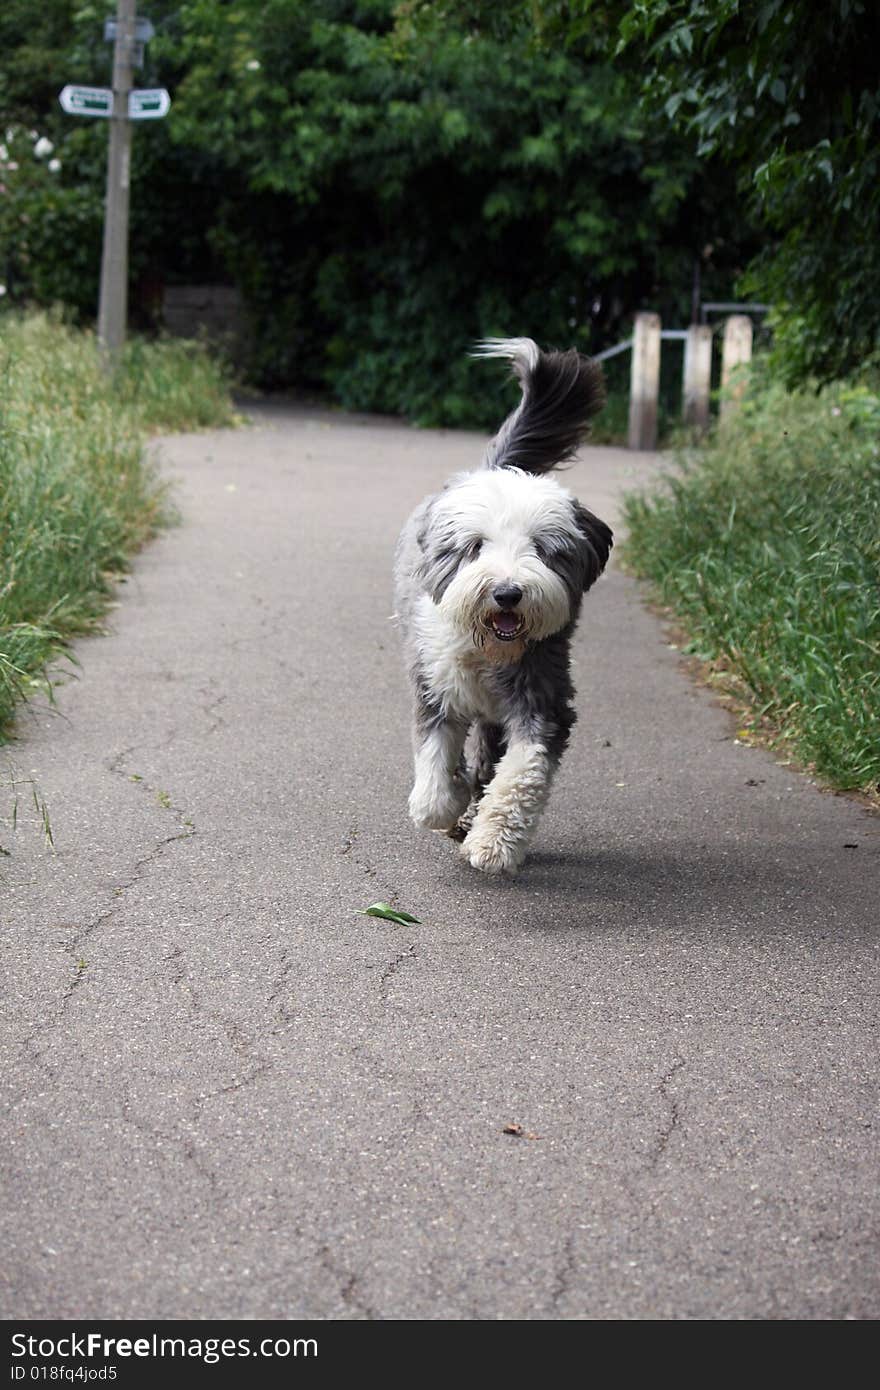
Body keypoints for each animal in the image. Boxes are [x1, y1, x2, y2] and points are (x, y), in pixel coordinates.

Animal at [397, 334, 611, 867]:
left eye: (543, 549)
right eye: (476, 546)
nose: (508, 592)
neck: (488, 652)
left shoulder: (544, 698)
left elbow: (522, 774)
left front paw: (493, 842)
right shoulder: (434, 682)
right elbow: (434, 759)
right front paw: (444, 806)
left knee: (491, 759)